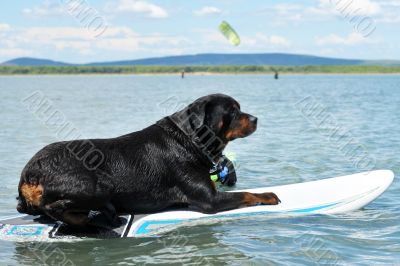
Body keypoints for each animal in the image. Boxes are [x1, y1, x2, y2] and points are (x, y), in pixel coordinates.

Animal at [17, 93, 280, 227]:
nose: (255, 119)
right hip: (98, 186)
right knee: (53, 207)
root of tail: (29, 173)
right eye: (233, 112)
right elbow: (247, 194)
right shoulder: (210, 200)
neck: (191, 140)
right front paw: (268, 195)